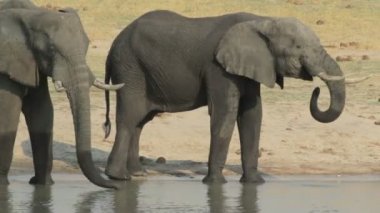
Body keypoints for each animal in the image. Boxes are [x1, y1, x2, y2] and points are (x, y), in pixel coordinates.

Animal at [0, 1, 121, 188]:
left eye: (87, 46)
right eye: (51, 49)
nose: (117, 186)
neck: (30, 15)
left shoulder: (31, 62)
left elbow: (42, 111)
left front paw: (43, 184)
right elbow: (8, 114)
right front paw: (3, 186)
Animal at [102, 10, 346, 183]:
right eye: (298, 47)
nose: (316, 90)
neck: (262, 21)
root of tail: (113, 43)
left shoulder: (250, 67)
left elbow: (252, 115)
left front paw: (255, 182)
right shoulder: (218, 69)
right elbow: (225, 113)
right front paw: (215, 183)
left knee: (140, 121)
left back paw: (137, 173)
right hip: (130, 68)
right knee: (129, 117)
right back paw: (118, 177)